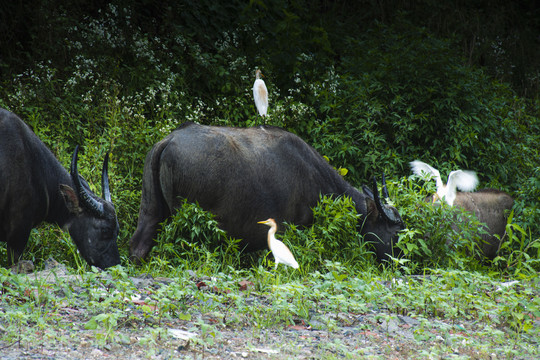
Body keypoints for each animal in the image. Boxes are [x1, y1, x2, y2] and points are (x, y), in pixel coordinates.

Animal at [129, 122, 402, 262]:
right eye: (396, 231)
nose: (400, 263)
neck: (314, 178)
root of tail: (168, 141)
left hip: (150, 207)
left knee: (139, 244)